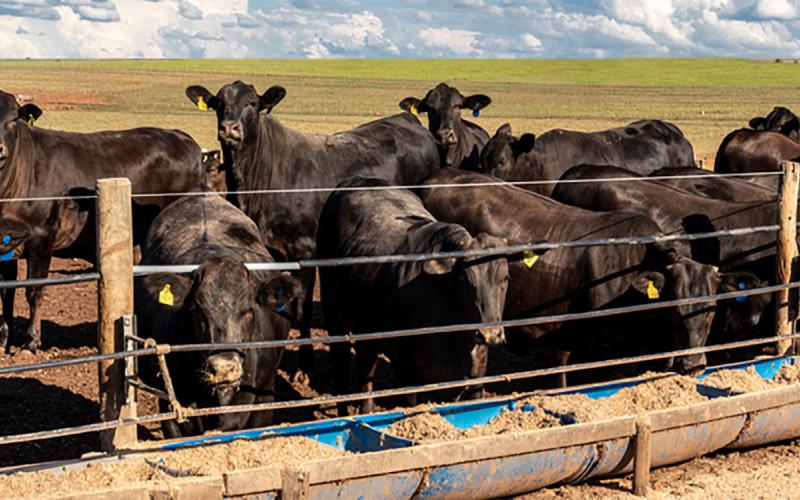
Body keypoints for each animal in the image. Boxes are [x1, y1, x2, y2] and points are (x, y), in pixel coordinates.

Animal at [0, 90, 205, 352]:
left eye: (13, 120)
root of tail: (181, 137)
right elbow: (6, 293)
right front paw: (4, 339)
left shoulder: (43, 237)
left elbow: (34, 290)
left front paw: (32, 341)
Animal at [185, 81, 439, 381]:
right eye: (218, 103)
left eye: (252, 103)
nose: (229, 128)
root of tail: (407, 119)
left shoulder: (305, 250)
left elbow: (302, 308)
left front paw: (305, 365)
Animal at [318, 177, 509, 413]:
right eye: (465, 280)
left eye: (505, 279)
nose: (490, 334)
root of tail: (357, 180)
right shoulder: (405, 370)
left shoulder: (477, 375)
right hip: (333, 316)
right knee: (342, 369)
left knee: (365, 371)